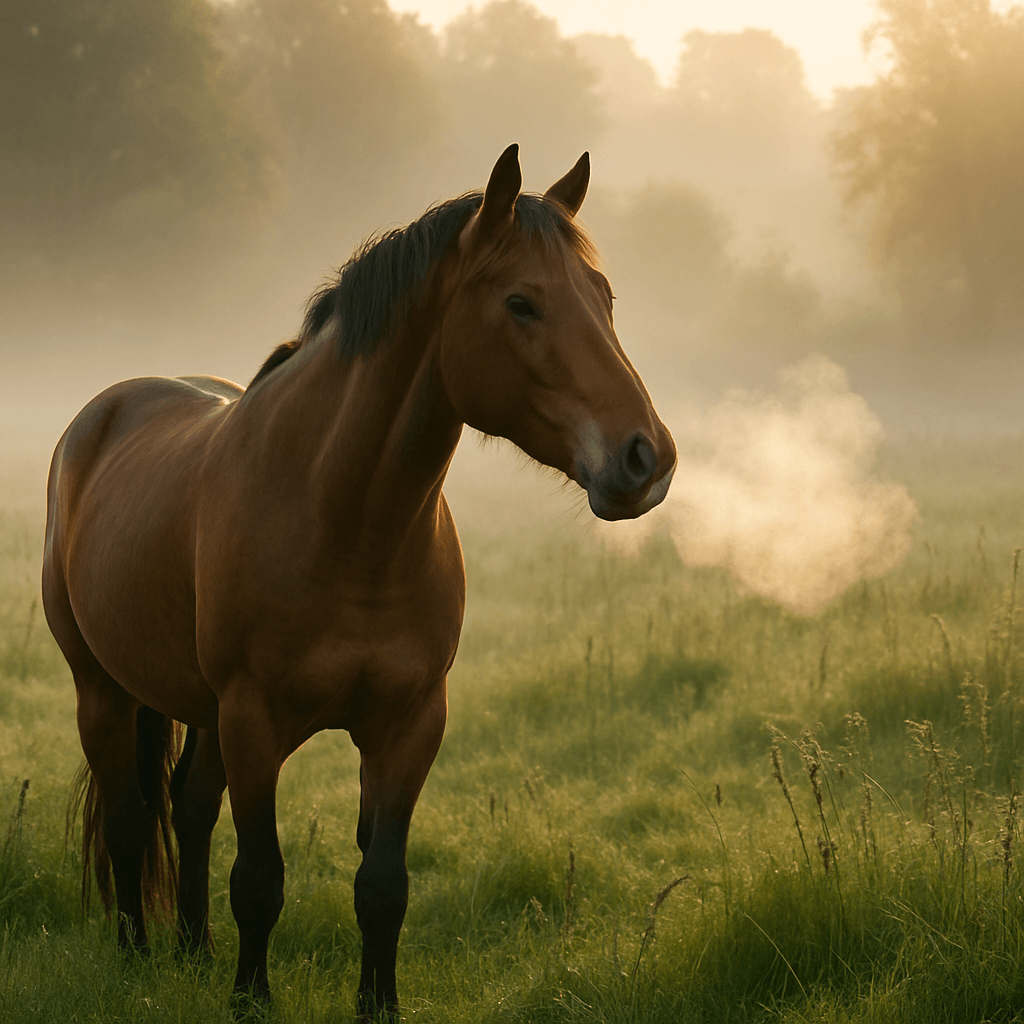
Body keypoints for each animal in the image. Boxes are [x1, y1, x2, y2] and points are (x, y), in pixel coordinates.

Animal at [41, 145, 676, 1020]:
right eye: (521, 303)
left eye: (604, 298)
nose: (645, 458)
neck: (348, 525)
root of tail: (101, 415)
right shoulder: (253, 719)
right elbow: (260, 878)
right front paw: (251, 1000)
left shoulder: (408, 724)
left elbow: (382, 884)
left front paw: (378, 1003)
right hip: (102, 689)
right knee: (134, 820)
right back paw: (138, 956)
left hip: (197, 708)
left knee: (189, 806)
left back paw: (194, 951)